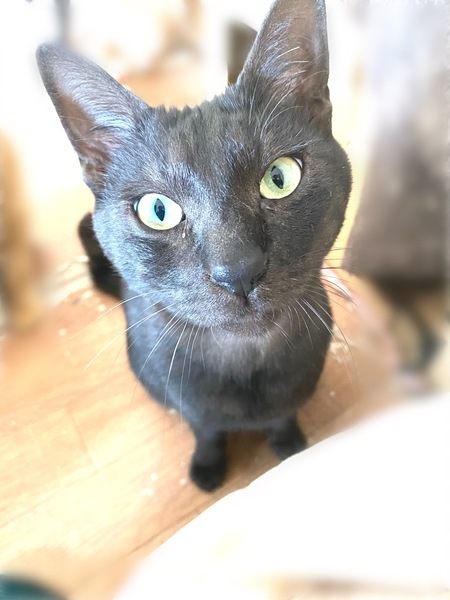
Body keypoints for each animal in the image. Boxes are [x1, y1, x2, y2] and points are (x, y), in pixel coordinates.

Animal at [37, 0, 351, 491]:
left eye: (280, 177)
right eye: (158, 210)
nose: (237, 271)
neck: (246, 367)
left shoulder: (298, 389)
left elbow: (284, 415)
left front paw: (290, 446)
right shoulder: (189, 402)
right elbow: (206, 429)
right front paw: (208, 468)